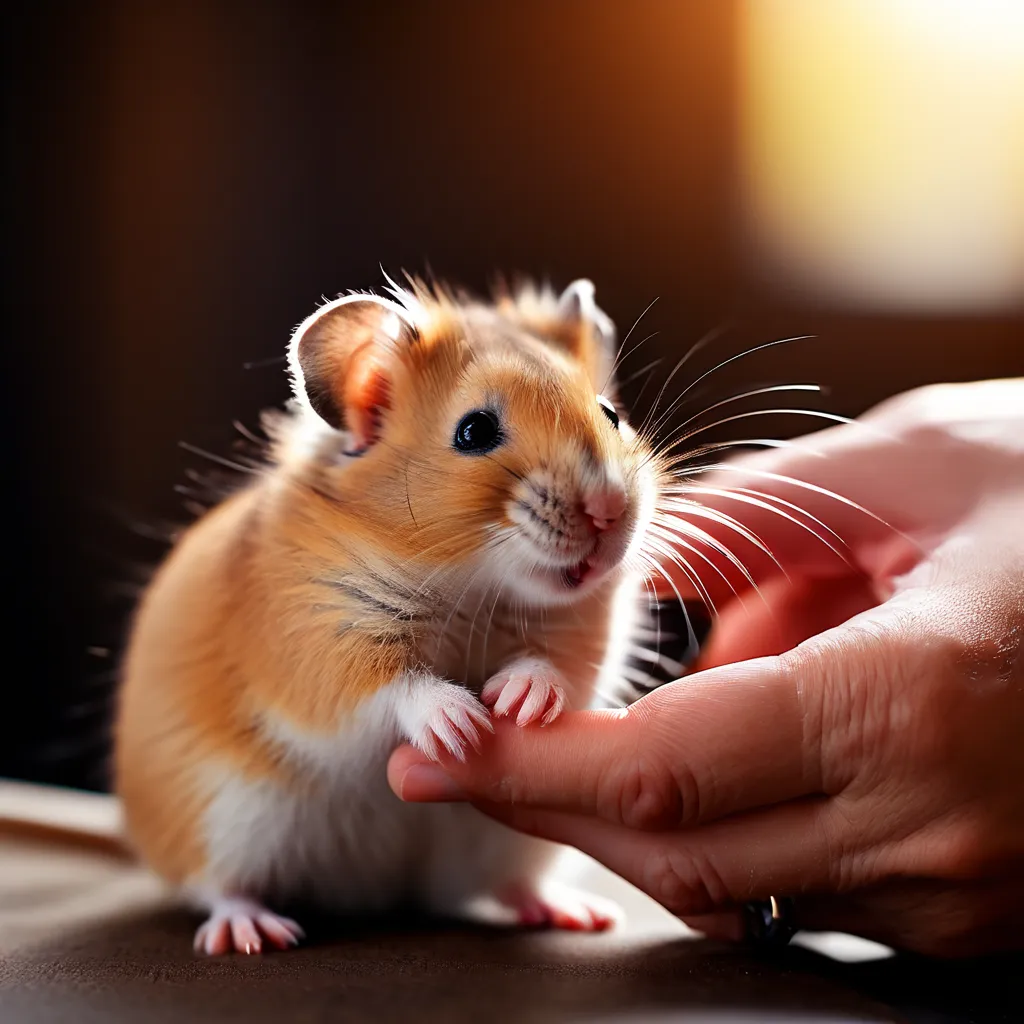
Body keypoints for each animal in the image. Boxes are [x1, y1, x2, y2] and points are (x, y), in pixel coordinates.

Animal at [112, 276, 659, 954]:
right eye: (474, 431)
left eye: (611, 414)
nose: (610, 509)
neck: (470, 586)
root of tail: (379, 893)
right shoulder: (316, 642)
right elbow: (391, 685)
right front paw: (465, 725)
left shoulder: (581, 636)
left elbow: (552, 665)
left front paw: (518, 702)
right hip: (223, 820)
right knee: (219, 887)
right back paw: (255, 932)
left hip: (516, 845)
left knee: (509, 886)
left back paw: (577, 914)